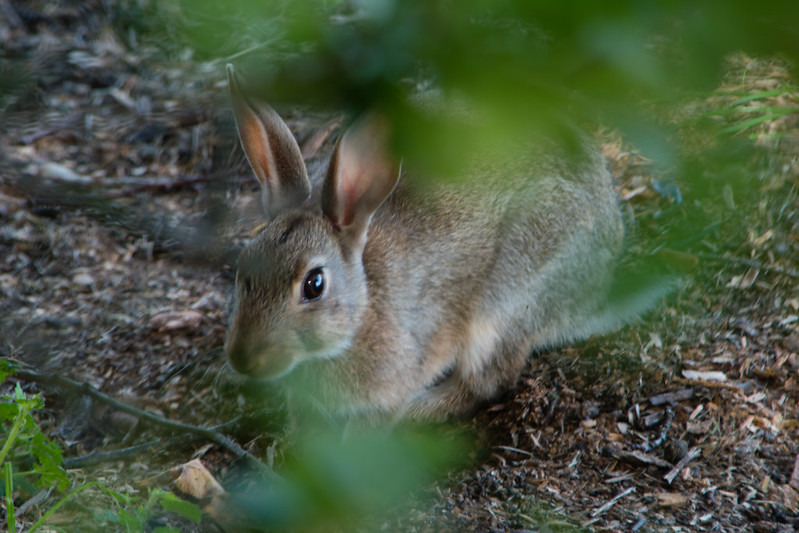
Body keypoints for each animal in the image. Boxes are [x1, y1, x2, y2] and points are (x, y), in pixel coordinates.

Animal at [224, 64, 626, 421]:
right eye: (244, 270)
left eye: (314, 284)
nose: (243, 359)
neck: (363, 305)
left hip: (510, 295)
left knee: (488, 381)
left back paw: (419, 410)